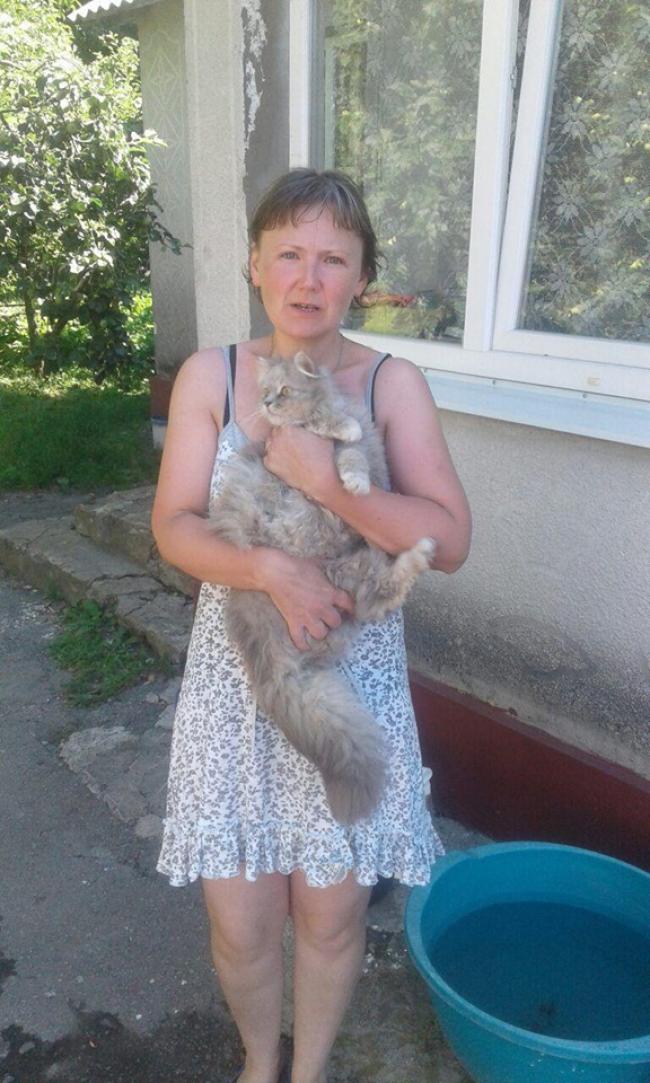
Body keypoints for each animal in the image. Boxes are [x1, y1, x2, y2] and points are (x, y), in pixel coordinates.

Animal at [208, 351, 435, 825]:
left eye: (284, 390)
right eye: (265, 392)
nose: (268, 404)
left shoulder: (352, 449)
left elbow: (351, 454)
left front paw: (354, 479)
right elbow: (327, 429)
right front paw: (338, 430)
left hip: (350, 570)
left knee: (376, 597)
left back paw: (418, 550)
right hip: (338, 569)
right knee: (378, 596)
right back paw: (421, 552)